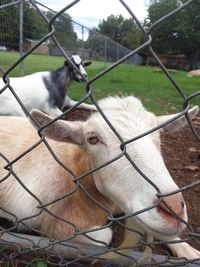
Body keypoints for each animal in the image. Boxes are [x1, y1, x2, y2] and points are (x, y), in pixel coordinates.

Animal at [0, 96, 199, 262]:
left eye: (158, 135)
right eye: (92, 139)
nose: (173, 210)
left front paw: (189, 251)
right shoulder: (55, 223)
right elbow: (105, 236)